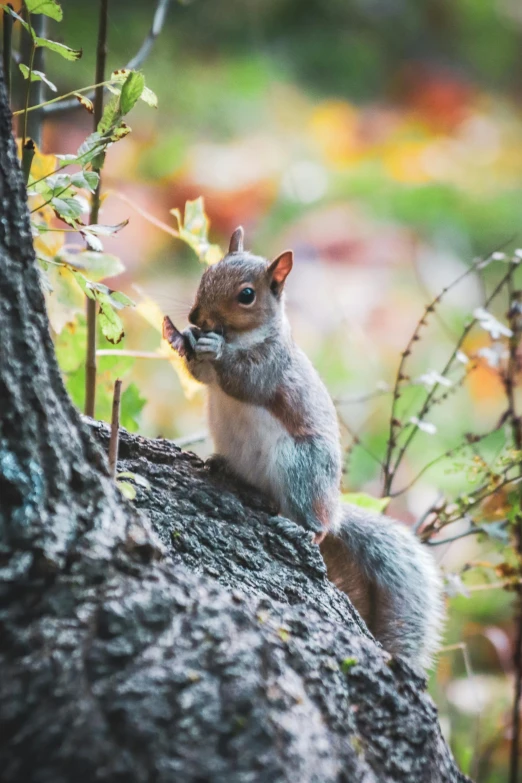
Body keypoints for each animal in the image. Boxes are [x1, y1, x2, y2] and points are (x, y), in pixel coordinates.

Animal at [162, 225, 442, 668]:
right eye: (207, 273)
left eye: (246, 295)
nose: (195, 319)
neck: (242, 336)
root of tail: (335, 505)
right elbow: (201, 376)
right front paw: (190, 340)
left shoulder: (271, 365)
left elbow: (244, 381)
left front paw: (213, 348)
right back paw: (223, 466)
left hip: (301, 468)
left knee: (319, 527)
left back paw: (300, 527)